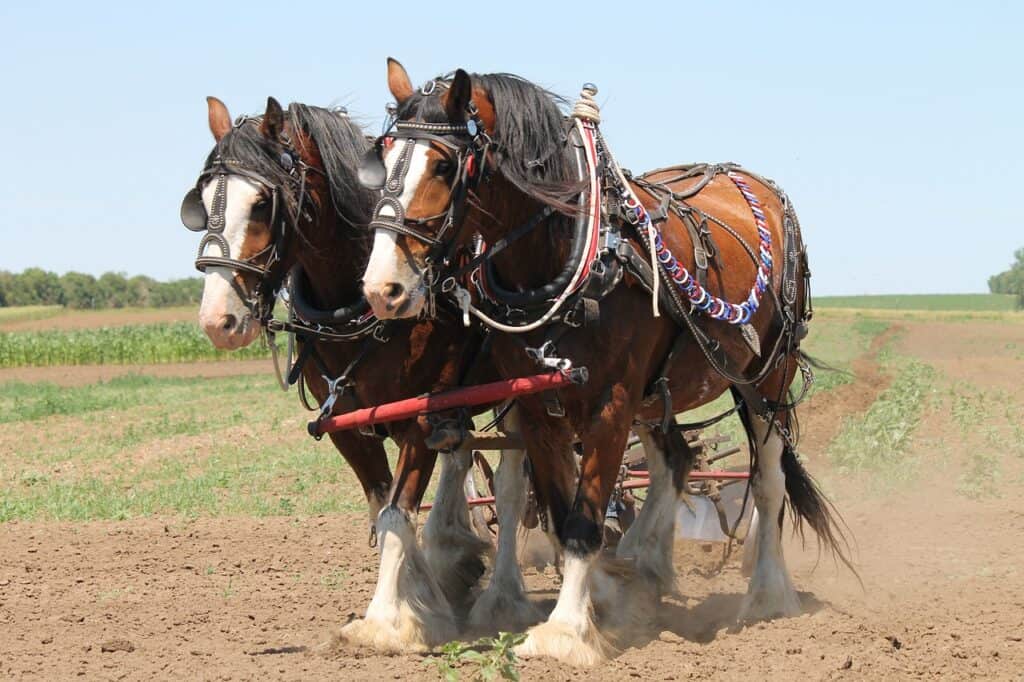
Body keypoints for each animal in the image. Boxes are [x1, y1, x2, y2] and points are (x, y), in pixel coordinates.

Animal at [181, 95, 540, 647]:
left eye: (262, 203)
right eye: (201, 201)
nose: (217, 321)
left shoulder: (417, 417)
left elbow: (396, 513)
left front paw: (387, 620)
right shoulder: (347, 426)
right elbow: (382, 509)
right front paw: (423, 592)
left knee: (509, 485)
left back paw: (501, 598)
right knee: (460, 460)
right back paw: (453, 556)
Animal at [360, 59, 847, 663]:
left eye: (446, 165)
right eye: (383, 158)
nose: (382, 288)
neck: (571, 255)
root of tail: (752, 182)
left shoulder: (612, 404)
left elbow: (585, 521)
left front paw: (566, 632)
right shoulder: (538, 406)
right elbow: (559, 510)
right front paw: (595, 605)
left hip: (766, 379)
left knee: (767, 480)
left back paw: (767, 596)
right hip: (660, 392)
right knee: (675, 460)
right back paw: (643, 567)